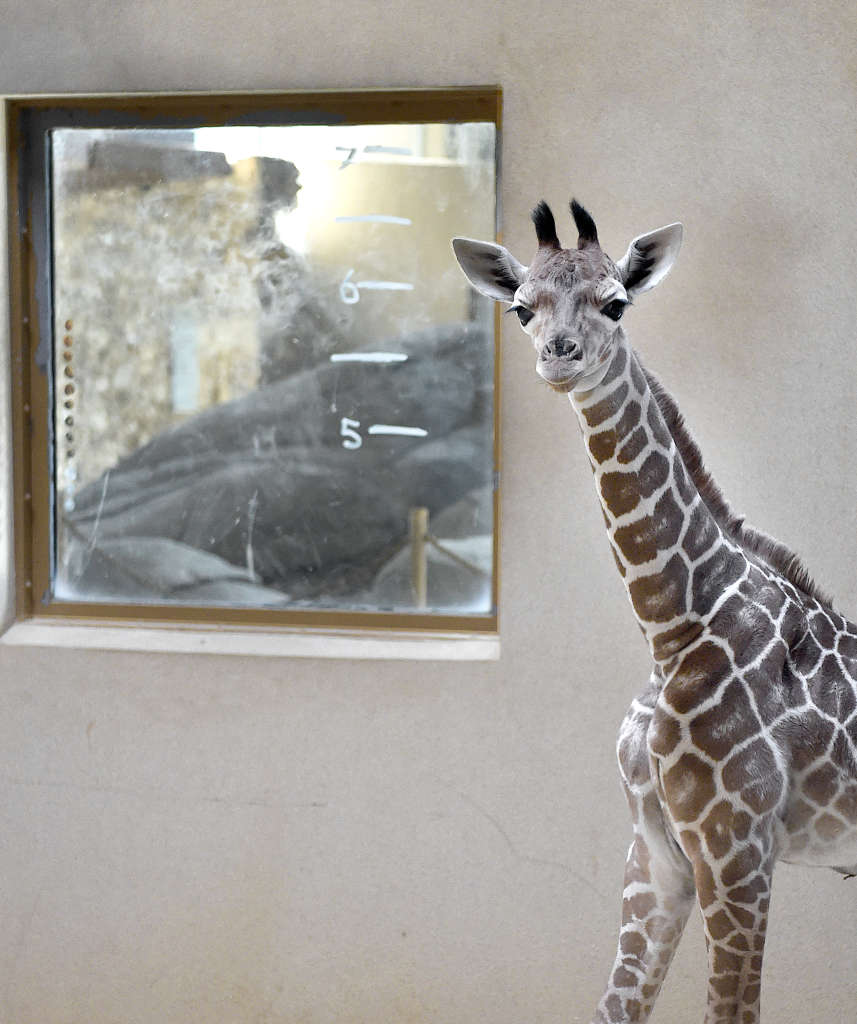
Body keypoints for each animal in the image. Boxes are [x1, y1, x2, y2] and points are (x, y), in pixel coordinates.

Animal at [452, 199, 857, 1024]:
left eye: (615, 303)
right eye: (521, 309)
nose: (561, 357)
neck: (671, 628)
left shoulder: (737, 848)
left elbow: (731, 1012)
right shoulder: (655, 853)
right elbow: (614, 1008)